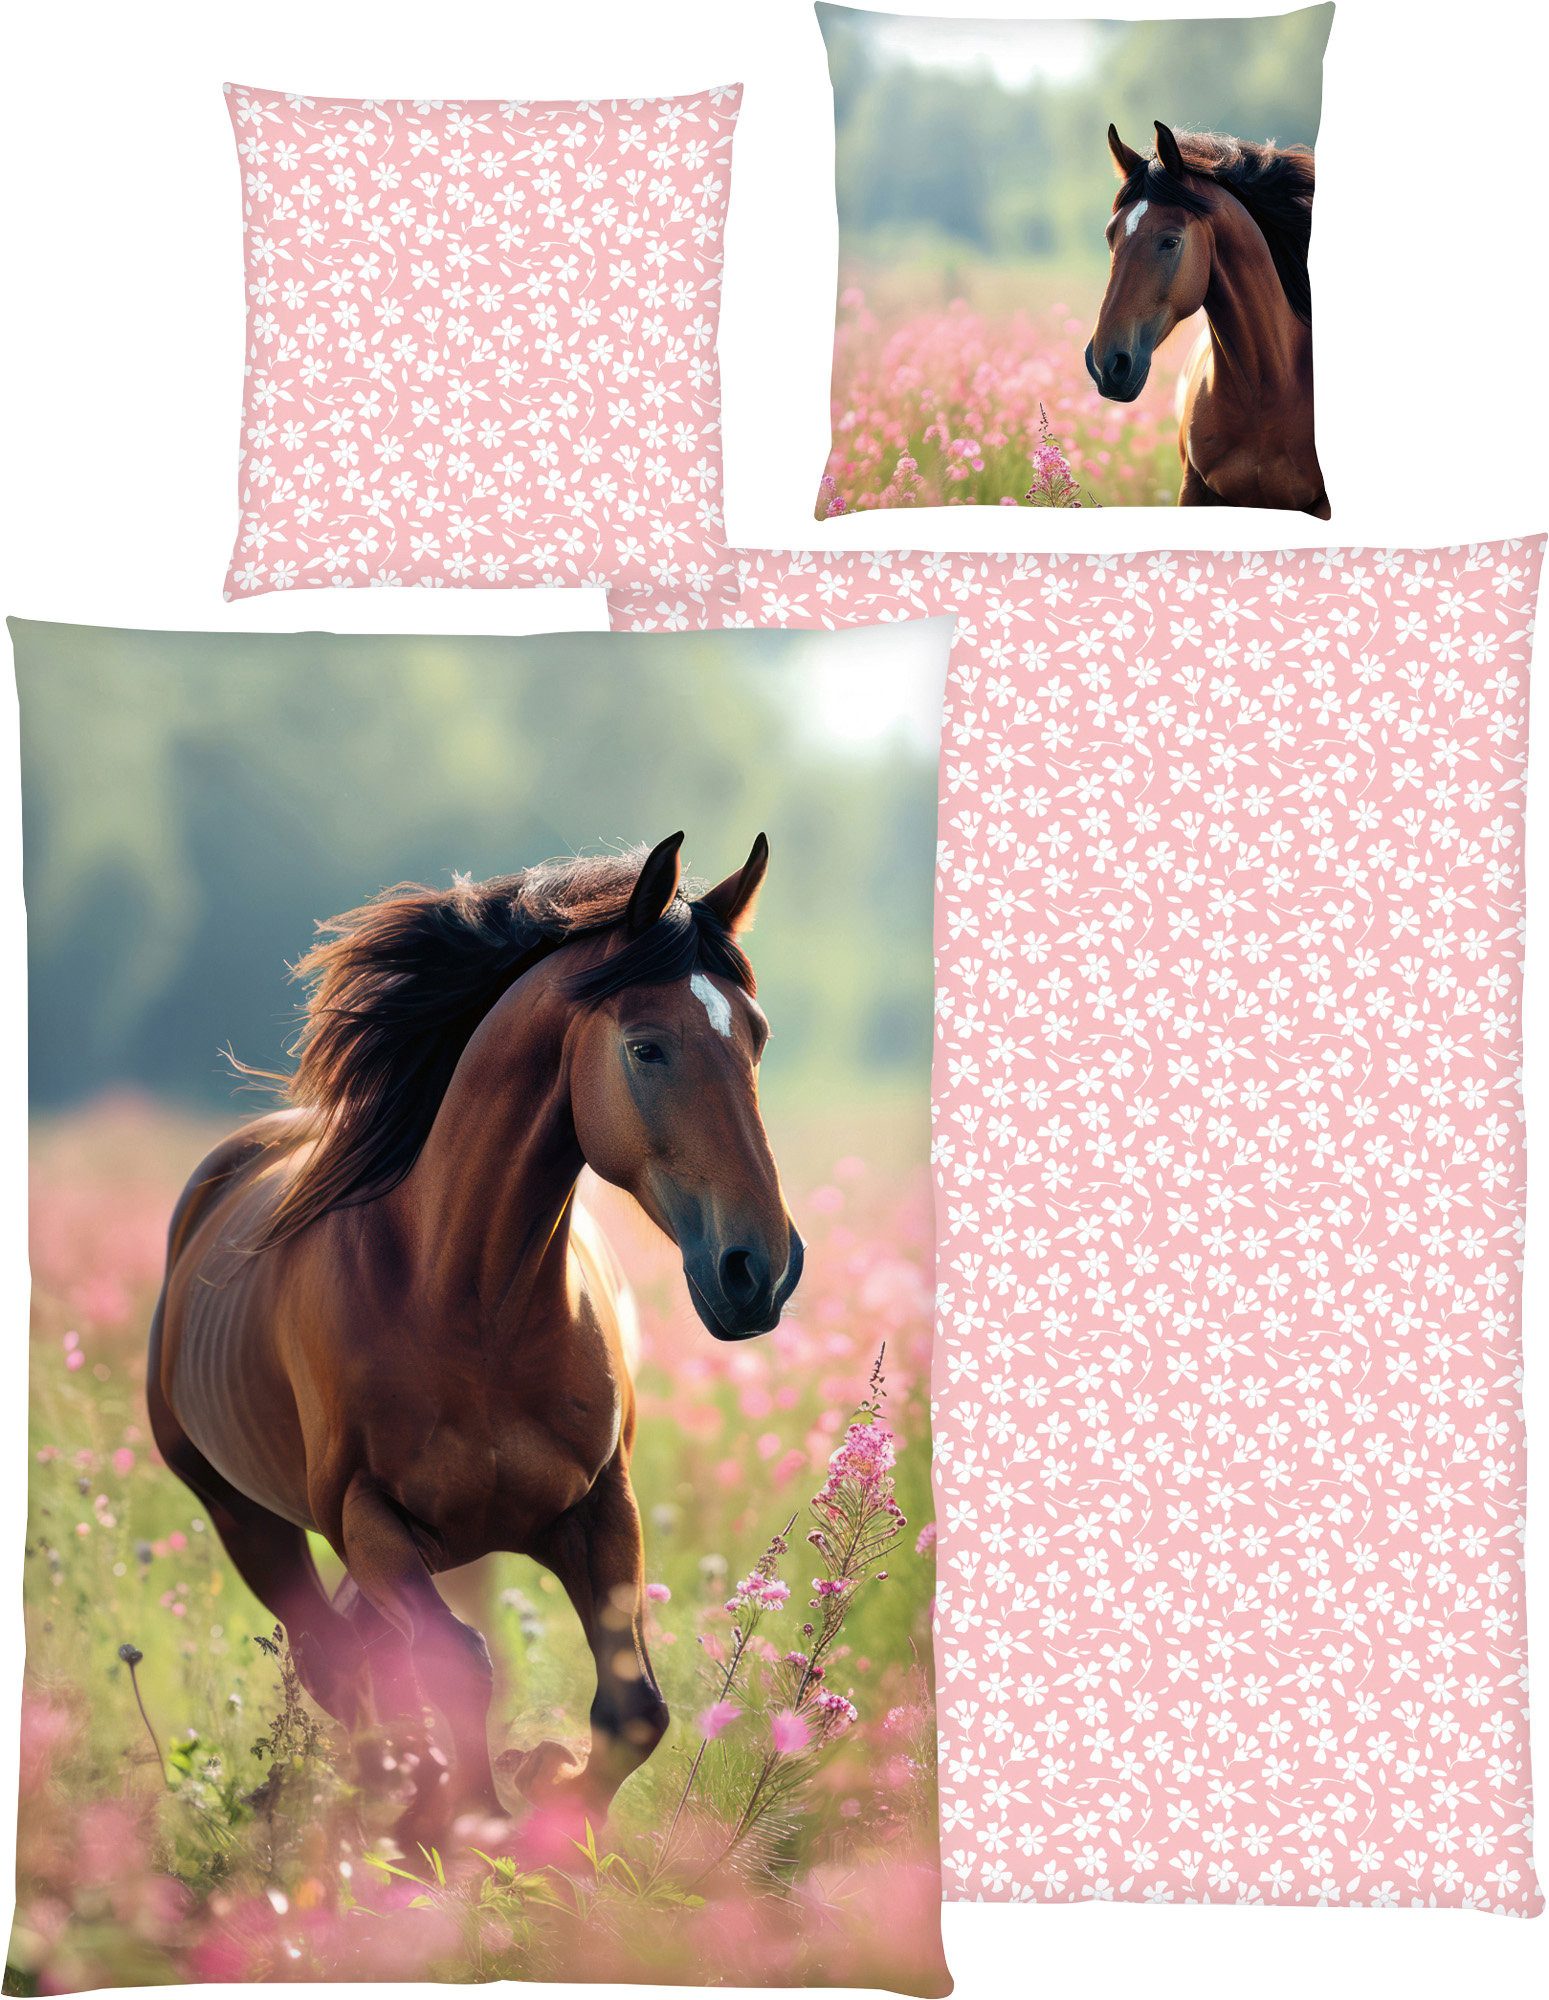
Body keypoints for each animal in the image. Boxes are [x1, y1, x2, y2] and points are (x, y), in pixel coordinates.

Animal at [146, 832, 804, 1842]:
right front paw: (472, 1825)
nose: (758, 1272)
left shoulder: (597, 1508)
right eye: (646, 1047)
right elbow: (455, 1669)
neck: (465, 1304)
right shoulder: (368, 1519)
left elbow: (634, 1708)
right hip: (248, 1520)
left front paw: (550, 1812)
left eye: (756, 1037)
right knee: (340, 1664)